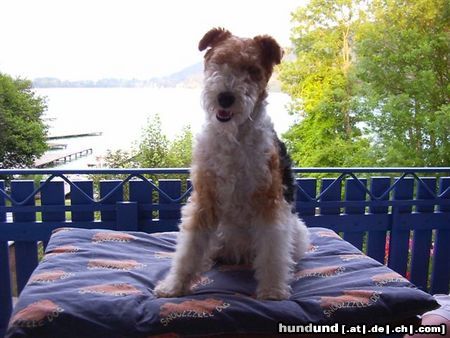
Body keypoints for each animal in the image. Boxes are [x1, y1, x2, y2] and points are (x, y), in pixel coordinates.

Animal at [155, 27, 310, 300]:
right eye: (218, 60)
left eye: (252, 70)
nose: (225, 98)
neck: (233, 137)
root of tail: (240, 255)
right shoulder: (204, 199)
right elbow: (189, 250)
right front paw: (173, 286)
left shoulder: (269, 201)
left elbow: (273, 253)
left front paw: (272, 291)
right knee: (207, 251)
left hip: (297, 231)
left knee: (283, 253)